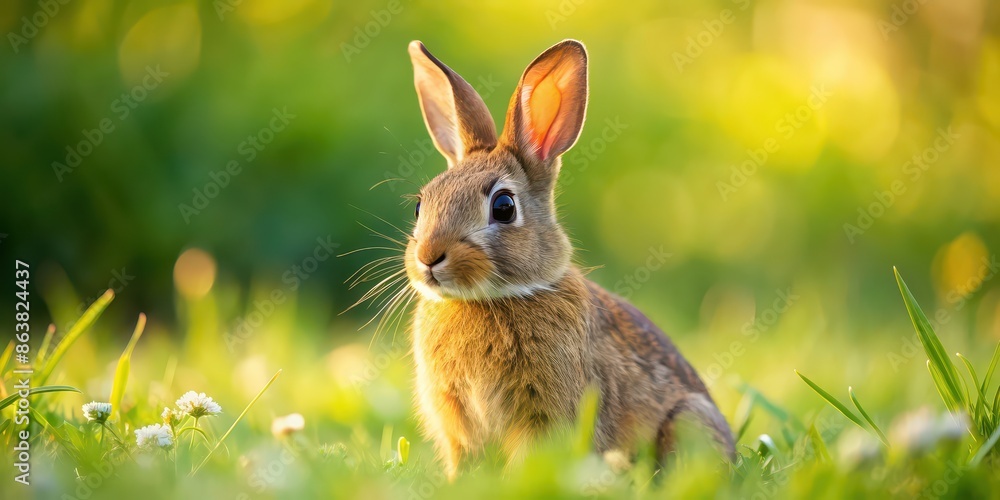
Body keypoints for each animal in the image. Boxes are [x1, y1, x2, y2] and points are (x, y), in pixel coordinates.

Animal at [402, 38, 735, 481]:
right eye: (420, 206)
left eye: (504, 207)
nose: (428, 257)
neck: (493, 299)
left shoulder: (545, 413)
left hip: (687, 420)